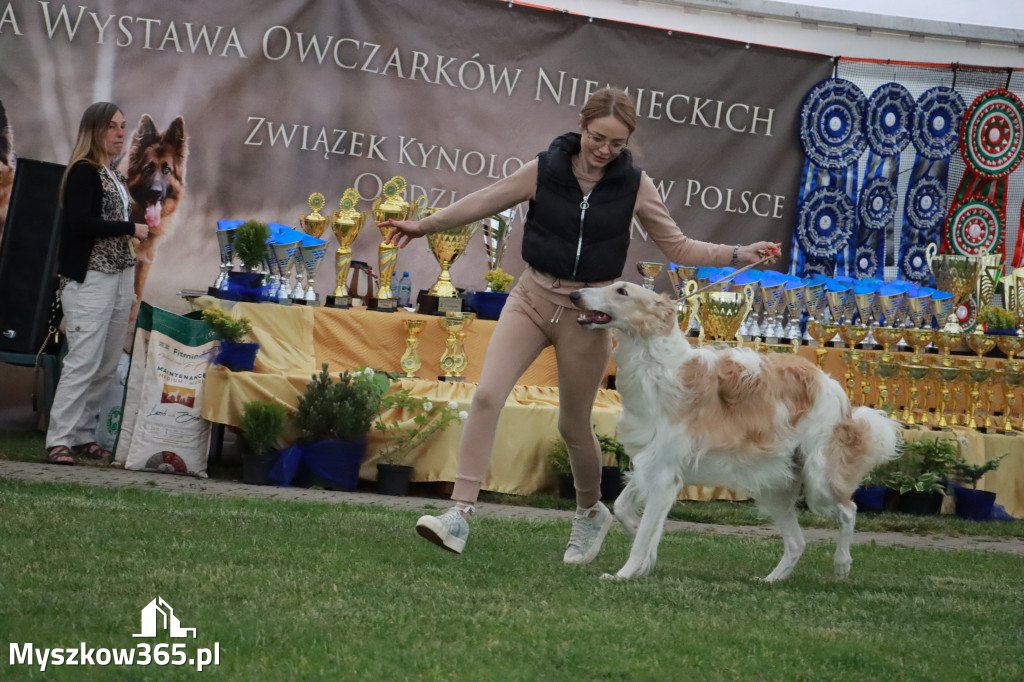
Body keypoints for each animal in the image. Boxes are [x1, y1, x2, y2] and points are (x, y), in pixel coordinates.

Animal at [573, 280, 901, 577]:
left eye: (622, 291)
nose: (574, 295)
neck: (658, 368)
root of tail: (830, 384)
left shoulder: (664, 472)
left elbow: (641, 538)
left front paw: (624, 574)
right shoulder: (651, 464)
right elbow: (626, 512)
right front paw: (646, 560)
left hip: (819, 479)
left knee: (848, 510)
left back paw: (842, 565)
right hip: (774, 485)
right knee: (797, 543)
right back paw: (771, 580)